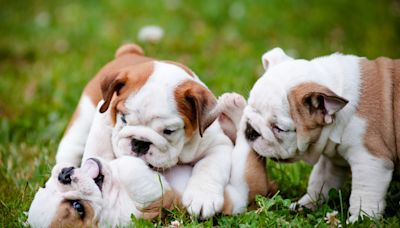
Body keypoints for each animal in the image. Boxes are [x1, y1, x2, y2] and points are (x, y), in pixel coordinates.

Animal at [54, 43, 233, 218]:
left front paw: (203, 197)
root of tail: (129, 52)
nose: (140, 143)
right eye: (123, 119)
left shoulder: (218, 145)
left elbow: (209, 167)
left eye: (169, 131)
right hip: (84, 116)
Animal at [228, 47, 400, 222]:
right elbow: (320, 182)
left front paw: (360, 219)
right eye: (250, 107)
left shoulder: (370, 161)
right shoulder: (331, 158)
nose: (250, 130)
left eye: (279, 129)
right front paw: (306, 204)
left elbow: (364, 193)